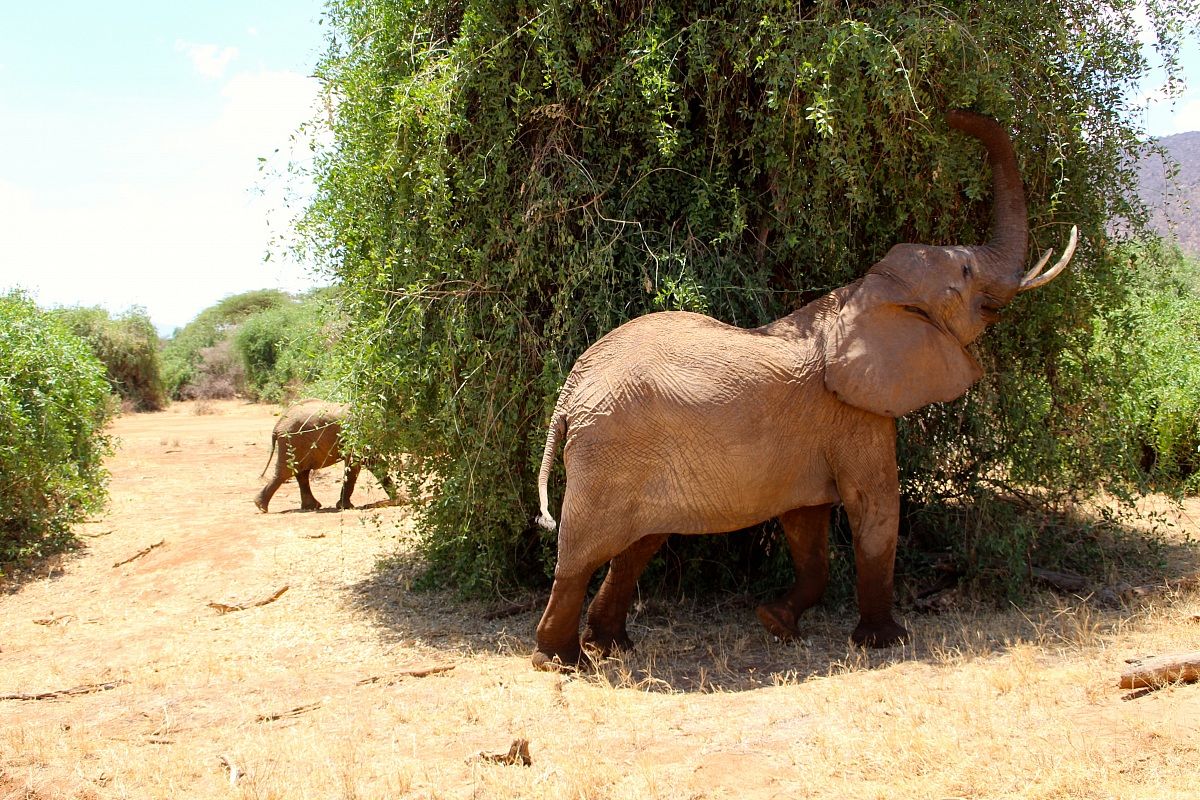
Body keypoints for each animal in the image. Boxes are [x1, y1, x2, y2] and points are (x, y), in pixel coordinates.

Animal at [254, 398, 395, 512]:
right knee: (287, 472)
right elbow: (357, 463)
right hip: (292, 440)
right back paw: (261, 506)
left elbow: (371, 462)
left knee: (301, 472)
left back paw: (310, 507)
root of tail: (278, 425)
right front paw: (345, 507)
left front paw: (398, 498)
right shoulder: (355, 434)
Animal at [530, 110, 1078, 670]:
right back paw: (561, 661)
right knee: (581, 555)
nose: (946, 116)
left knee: (637, 544)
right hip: (610, 450)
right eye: (964, 274)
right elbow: (876, 509)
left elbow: (807, 527)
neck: (865, 294)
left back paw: (609, 646)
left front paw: (776, 623)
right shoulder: (857, 414)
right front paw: (887, 642)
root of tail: (569, 394)